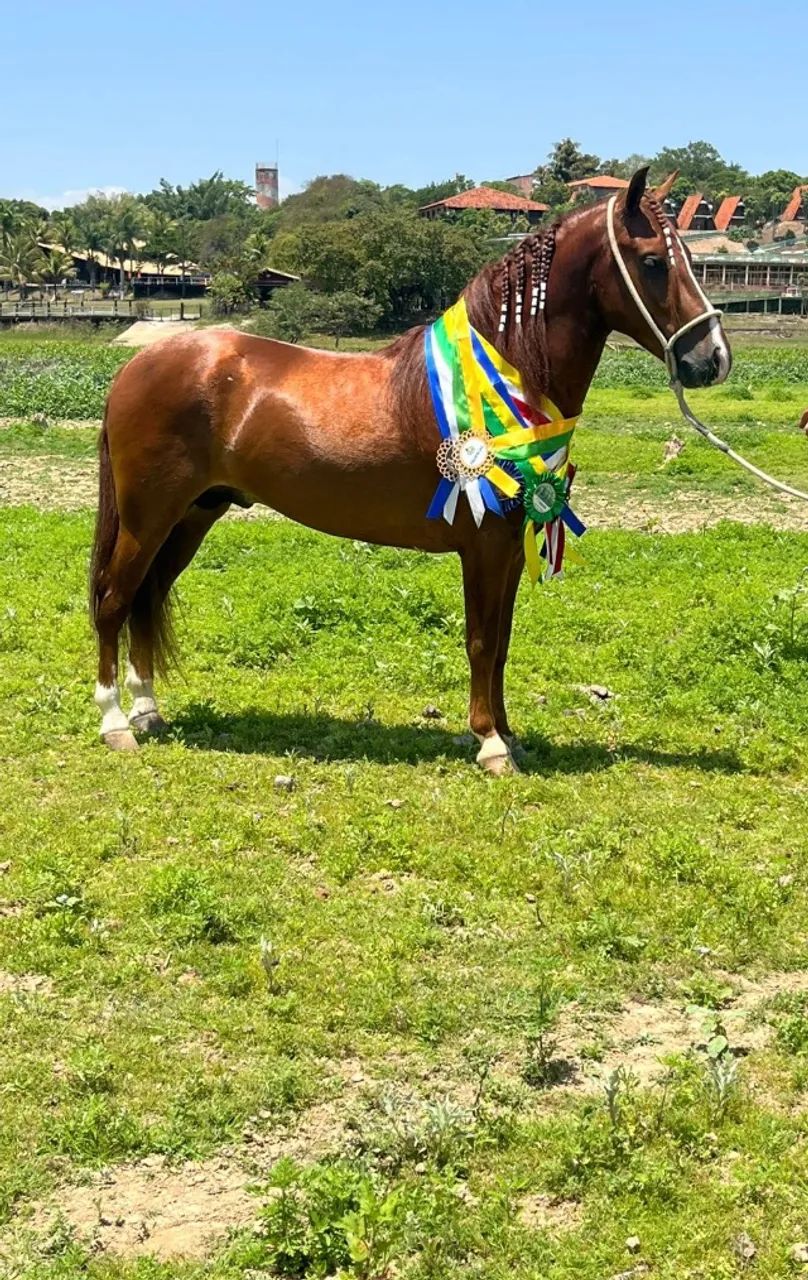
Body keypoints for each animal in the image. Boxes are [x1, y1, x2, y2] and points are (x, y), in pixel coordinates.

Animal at [90, 167, 731, 774]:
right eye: (653, 262)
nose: (712, 359)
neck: (503, 377)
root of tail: (135, 367)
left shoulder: (509, 548)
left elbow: (502, 644)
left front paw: (508, 735)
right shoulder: (484, 546)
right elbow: (481, 641)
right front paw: (489, 743)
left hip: (194, 515)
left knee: (147, 598)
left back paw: (148, 711)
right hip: (149, 518)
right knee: (116, 600)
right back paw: (116, 722)